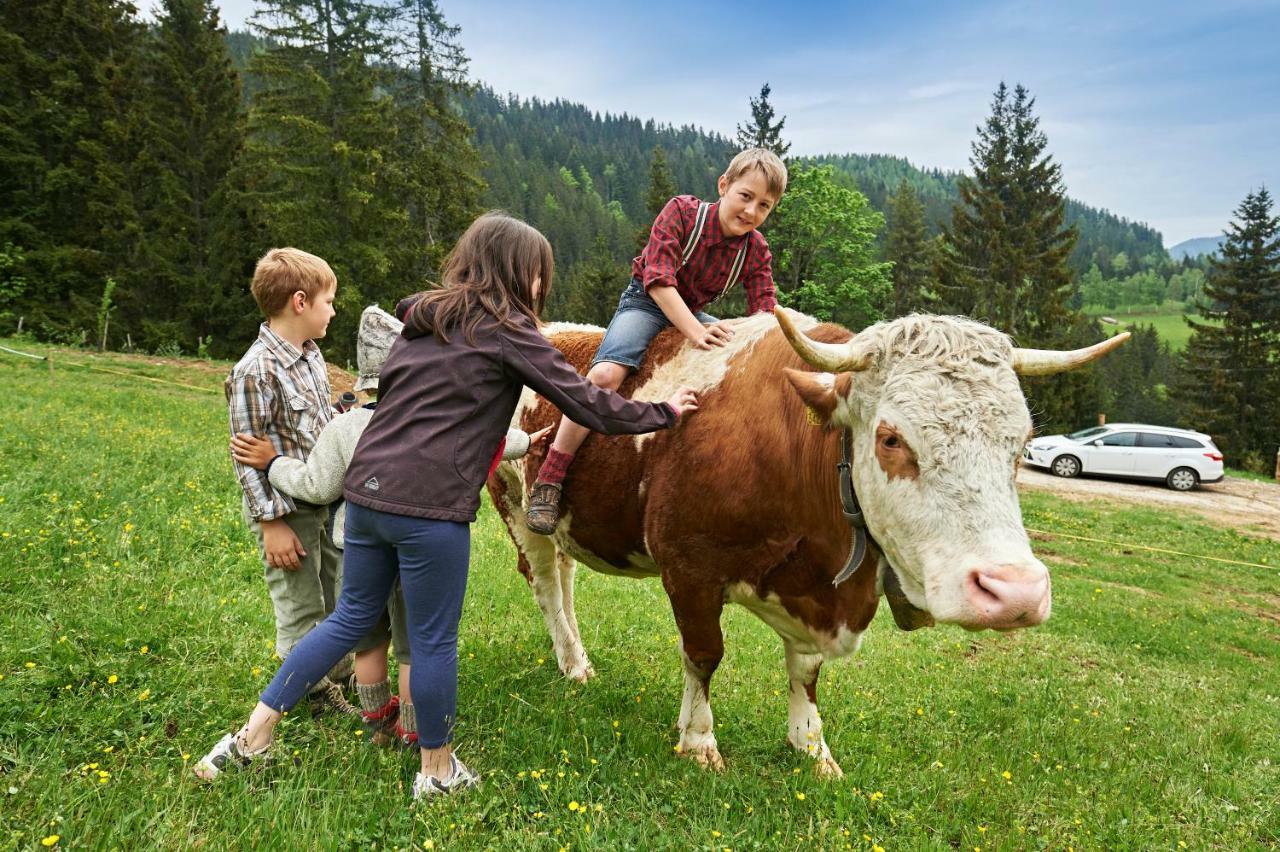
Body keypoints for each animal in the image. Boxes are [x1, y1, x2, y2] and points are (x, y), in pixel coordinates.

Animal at [483, 308, 1126, 772]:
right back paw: (572, 663)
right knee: (545, 583)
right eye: (891, 439)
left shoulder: (817, 593)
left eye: (1024, 442)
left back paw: (576, 653)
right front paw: (699, 741)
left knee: (565, 578)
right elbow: (704, 654)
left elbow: (807, 672)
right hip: (515, 504)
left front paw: (813, 747)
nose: (1015, 592)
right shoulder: (688, 568)